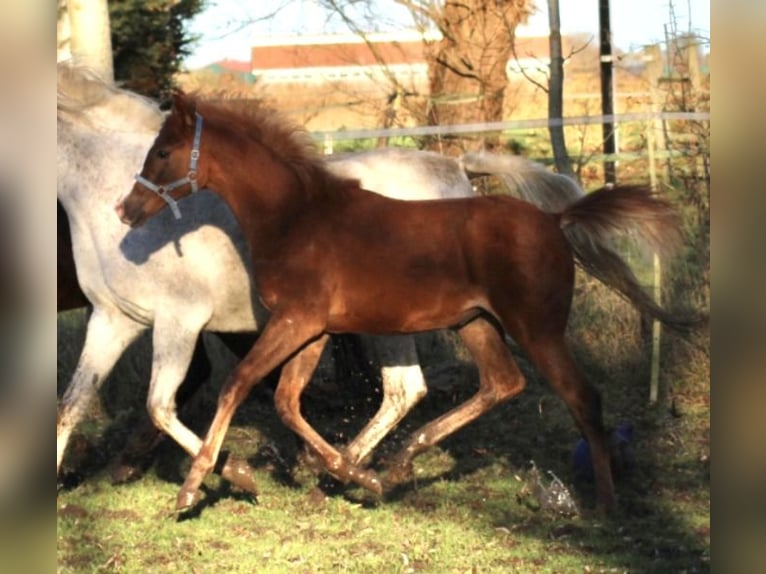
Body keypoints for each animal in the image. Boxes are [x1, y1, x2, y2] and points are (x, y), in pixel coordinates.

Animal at [57, 63, 579, 489]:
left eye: (163, 153)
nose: (124, 211)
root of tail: (455, 167)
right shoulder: (112, 321)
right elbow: (70, 406)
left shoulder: (180, 322)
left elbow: (162, 405)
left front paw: (232, 472)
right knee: (406, 390)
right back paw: (352, 467)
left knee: (405, 391)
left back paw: (351, 468)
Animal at [117, 92, 694, 514]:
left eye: (162, 152)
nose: (126, 209)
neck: (297, 218)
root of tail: (555, 220)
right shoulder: (313, 329)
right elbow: (286, 401)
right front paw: (353, 474)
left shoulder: (297, 320)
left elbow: (237, 385)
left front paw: (192, 487)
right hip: (476, 323)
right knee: (502, 383)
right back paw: (400, 463)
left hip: (538, 328)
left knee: (582, 398)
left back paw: (607, 506)